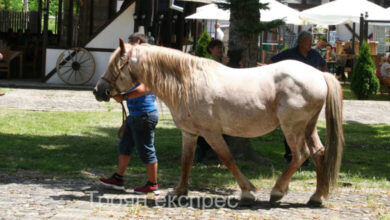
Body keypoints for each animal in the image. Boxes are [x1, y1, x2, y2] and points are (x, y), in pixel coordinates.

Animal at [94, 40, 344, 206]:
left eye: (116, 64)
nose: (98, 90)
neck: (188, 82)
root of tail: (320, 75)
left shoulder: (211, 133)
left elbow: (228, 159)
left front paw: (248, 192)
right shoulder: (190, 133)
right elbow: (186, 162)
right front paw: (178, 192)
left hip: (292, 128)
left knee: (300, 155)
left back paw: (277, 192)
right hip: (308, 127)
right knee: (319, 153)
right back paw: (317, 197)